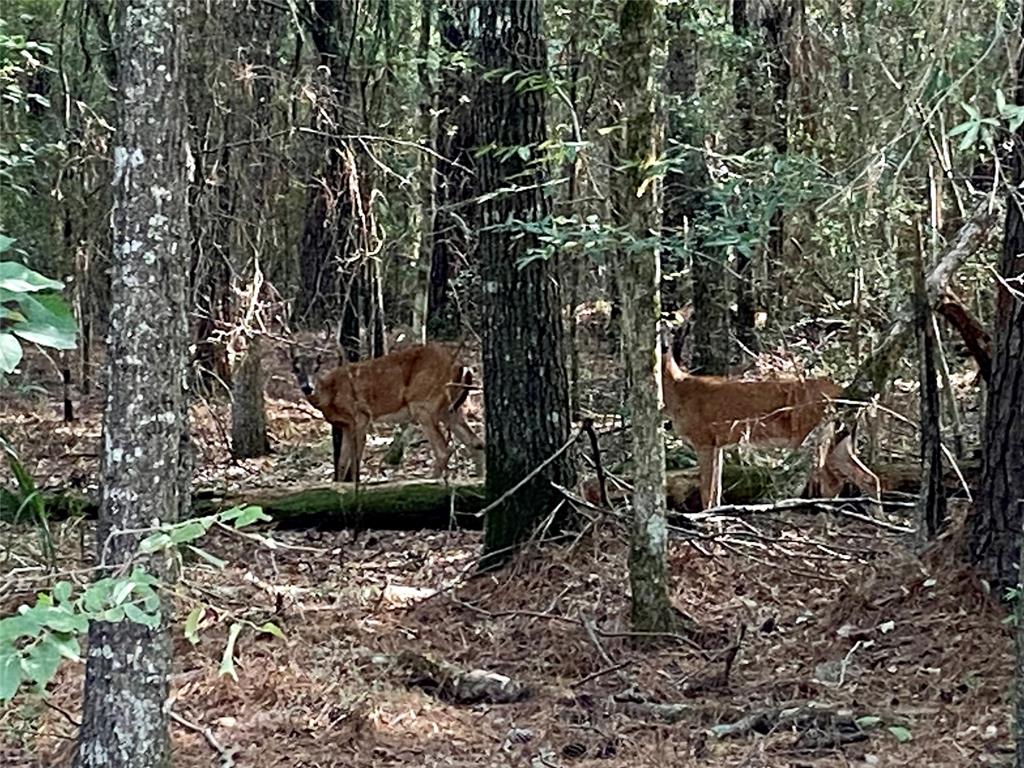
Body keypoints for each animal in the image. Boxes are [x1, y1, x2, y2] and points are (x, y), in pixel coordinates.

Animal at [286, 342, 481, 481]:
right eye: (296, 369)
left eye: (316, 368)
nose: (307, 387)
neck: (331, 394)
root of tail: (460, 366)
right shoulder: (346, 425)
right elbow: (341, 463)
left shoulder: (361, 415)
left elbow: (355, 460)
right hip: (449, 409)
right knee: (475, 442)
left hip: (423, 402)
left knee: (443, 450)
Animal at [663, 325, 880, 512]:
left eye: (670, 329)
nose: (664, 345)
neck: (677, 394)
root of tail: (843, 393)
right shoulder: (718, 443)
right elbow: (715, 492)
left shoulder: (704, 438)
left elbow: (707, 493)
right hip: (840, 440)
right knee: (867, 478)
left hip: (815, 434)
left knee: (829, 481)